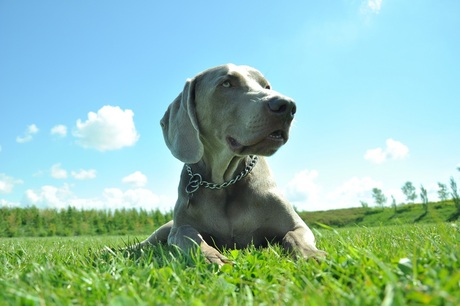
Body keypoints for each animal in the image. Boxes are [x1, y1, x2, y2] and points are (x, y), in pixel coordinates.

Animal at [138, 64, 326, 266]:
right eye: (226, 83)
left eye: (266, 86)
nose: (287, 105)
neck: (223, 183)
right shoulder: (178, 229)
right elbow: (188, 234)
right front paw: (211, 256)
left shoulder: (297, 225)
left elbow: (294, 235)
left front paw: (311, 255)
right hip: (162, 231)